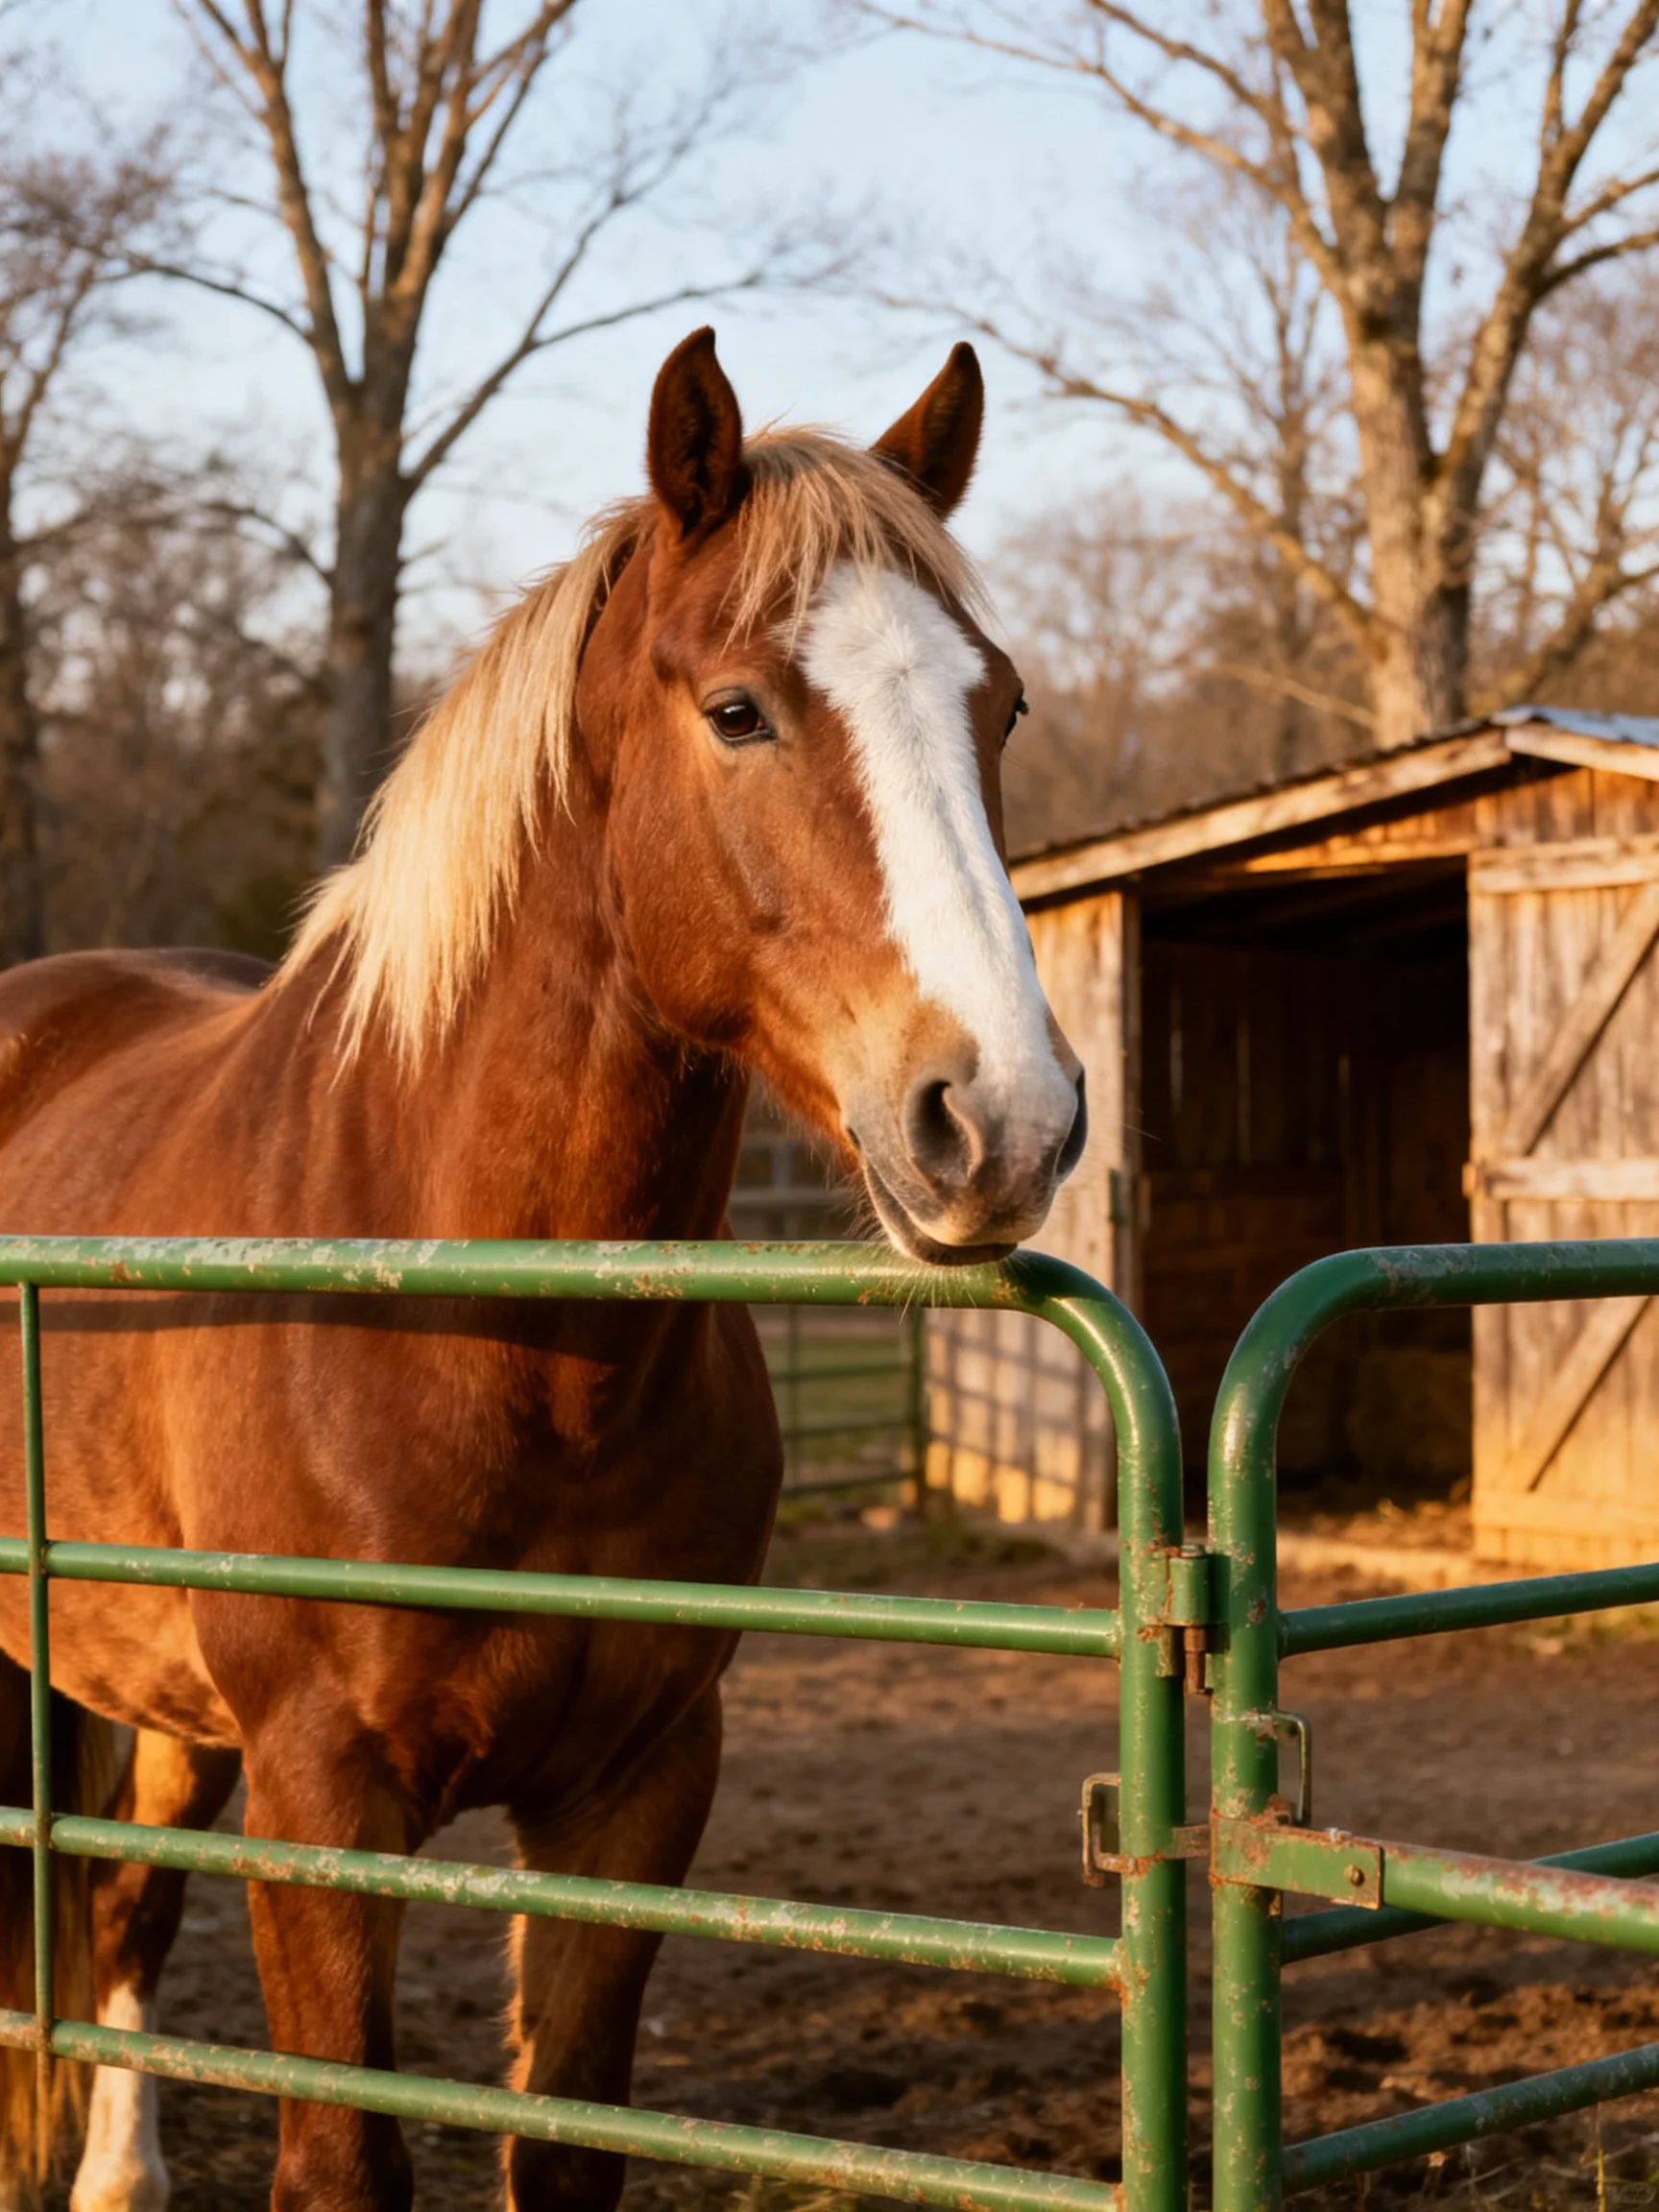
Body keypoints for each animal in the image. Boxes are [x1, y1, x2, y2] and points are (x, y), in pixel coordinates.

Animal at [0, 327, 1085, 2212]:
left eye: (998, 703)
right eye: (738, 710)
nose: (1000, 1115)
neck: (495, 1338)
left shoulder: (633, 1790)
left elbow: (565, 2135)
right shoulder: (325, 1801)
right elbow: (339, 2158)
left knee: (124, 1912)